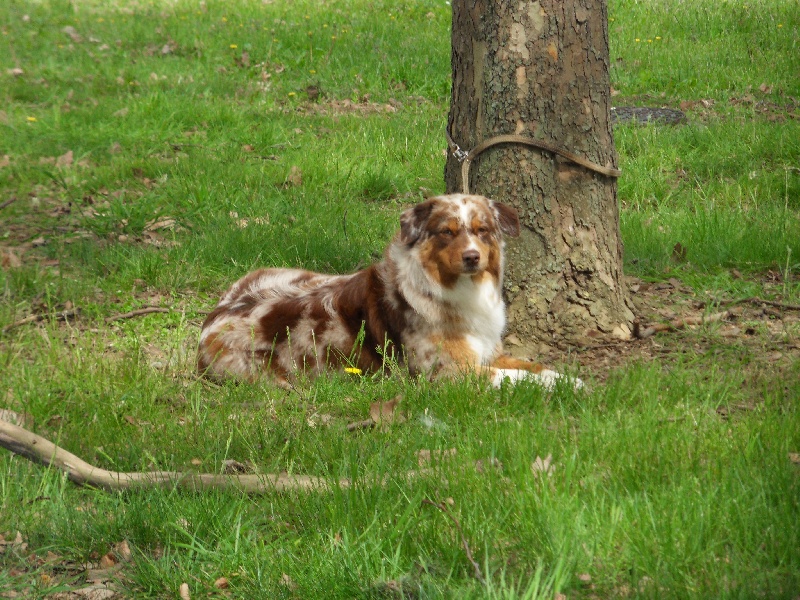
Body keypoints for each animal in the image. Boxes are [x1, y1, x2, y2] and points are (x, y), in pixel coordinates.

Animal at [197, 192, 580, 390]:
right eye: (447, 232)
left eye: (482, 229)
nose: (472, 257)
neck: (458, 291)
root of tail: (212, 320)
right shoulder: (447, 374)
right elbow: (515, 376)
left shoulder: (488, 352)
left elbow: (533, 365)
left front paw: (567, 379)